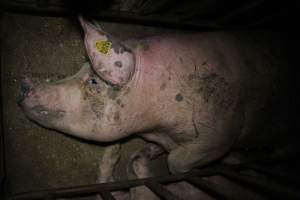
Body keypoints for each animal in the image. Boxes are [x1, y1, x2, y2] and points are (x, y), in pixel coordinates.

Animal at [18, 16, 282, 198]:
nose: (23, 85)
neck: (156, 124)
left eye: (93, 81)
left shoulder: (224, 128)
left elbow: (177, 161)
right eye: (80, 68)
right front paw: (153, 150)